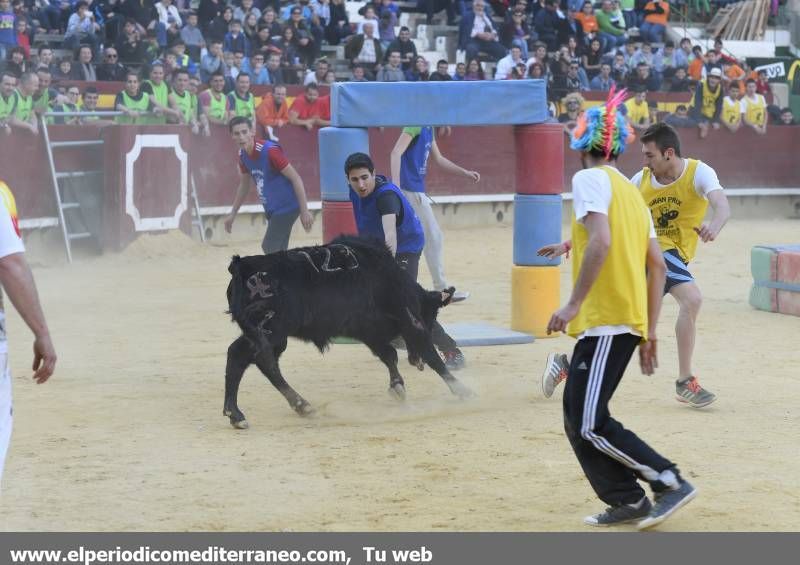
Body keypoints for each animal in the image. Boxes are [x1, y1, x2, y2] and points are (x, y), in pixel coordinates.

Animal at [223, 235, 476, 428]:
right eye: (431, 318)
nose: (416, 362)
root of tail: (243, 266)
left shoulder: (369, 331)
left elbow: (389, 355)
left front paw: (397, 386)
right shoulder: (410, 322)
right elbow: (431, 356)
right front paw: (463, 390)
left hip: (271, 336)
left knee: (252, 359)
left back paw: (294, 407)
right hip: (270, 331)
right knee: (250, 357)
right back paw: (241, 413)